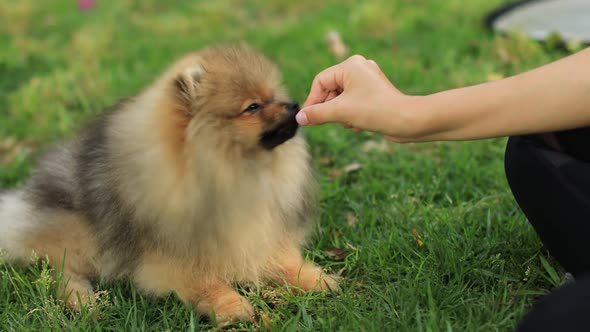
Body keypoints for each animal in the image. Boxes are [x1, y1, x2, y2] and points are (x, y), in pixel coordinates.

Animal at [0, 42, 340, 322]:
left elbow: (283, 259)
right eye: (253, 107)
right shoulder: (170, 254)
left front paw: (313, 279)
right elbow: (203, 281)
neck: (238, 170)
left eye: (273, 96)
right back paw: (82, 301)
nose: (294, 104)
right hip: (82, 232)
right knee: (61, 270)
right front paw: (231, 307)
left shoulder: (261, 227)